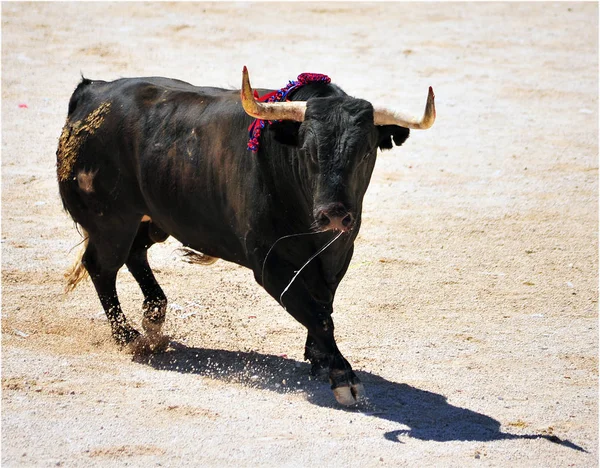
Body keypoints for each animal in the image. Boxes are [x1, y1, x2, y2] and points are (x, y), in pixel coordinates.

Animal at [57, 66, 436, 406]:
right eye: (308, 151)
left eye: (365, 152)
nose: (333, 215)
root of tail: (92, 91)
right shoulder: (269, 264)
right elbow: (316, 314)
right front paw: (344, 378)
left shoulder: (339, 253)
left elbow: (322, 304)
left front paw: (318, 358)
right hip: (112, 222)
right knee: (102, 266)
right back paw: (128, 336)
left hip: (151, 219)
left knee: (135, 255)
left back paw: (153, 318)